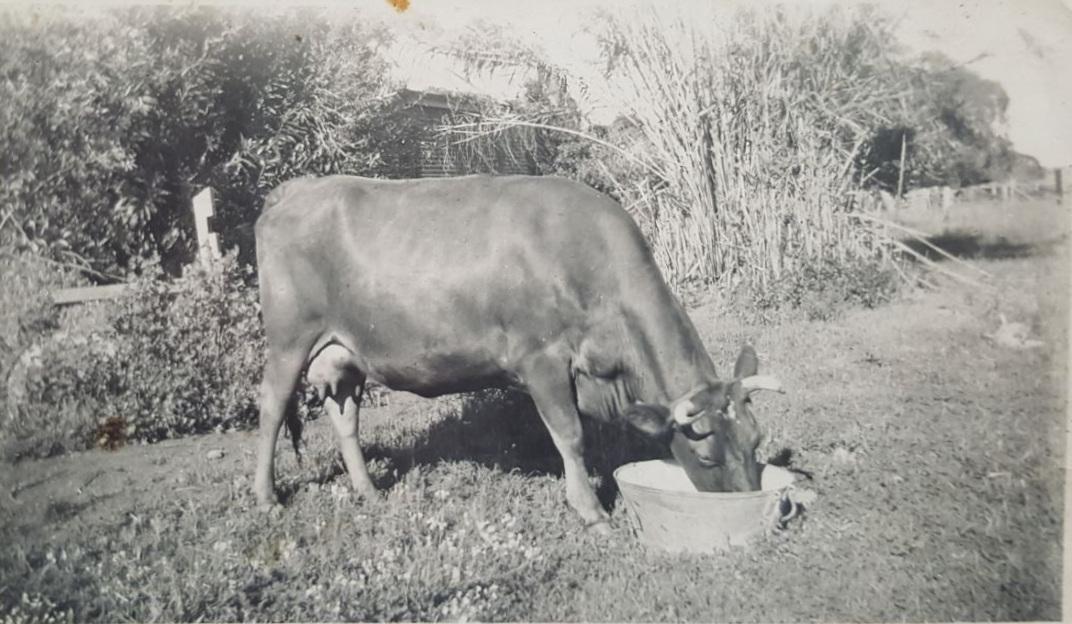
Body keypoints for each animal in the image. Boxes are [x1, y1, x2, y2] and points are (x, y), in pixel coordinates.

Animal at [254, 174, 784, 533]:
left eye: (756, 440)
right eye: (708, 456)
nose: (747, 508)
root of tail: (297, 189)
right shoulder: (541, 359)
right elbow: (570, 435)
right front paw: (592, 512)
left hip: (344, 354)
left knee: (345, 418)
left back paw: (368, 491)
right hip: (288, 340)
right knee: (272, 409)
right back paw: (267, 497)